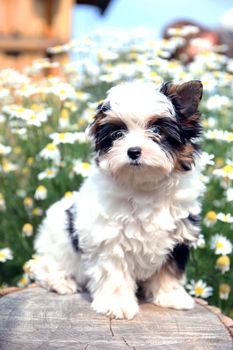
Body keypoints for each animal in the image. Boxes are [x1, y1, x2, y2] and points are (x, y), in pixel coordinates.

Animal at [29, 80, 204, 320]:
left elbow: (169, 270)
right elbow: (114, 273)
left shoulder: (179, 234)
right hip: (57, 244)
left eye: (157, 130)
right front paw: (117, 304)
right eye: (118, 134)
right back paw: (61, 282)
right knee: (44, 265)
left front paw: (171, 296)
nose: (133, 151)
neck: (144, 186)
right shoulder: (109, 239)